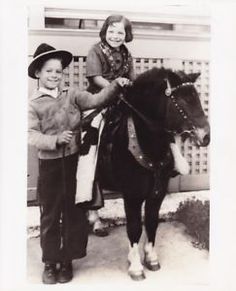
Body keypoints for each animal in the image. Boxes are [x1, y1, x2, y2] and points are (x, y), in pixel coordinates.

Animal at [98, 67, 209, 282]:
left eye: (197, 98)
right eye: (183, 101)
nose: (206, 136)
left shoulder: (157, 193)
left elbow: (151, 222)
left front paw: (150, 258)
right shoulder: (131, 196)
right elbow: (134, 227)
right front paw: (135, 266)